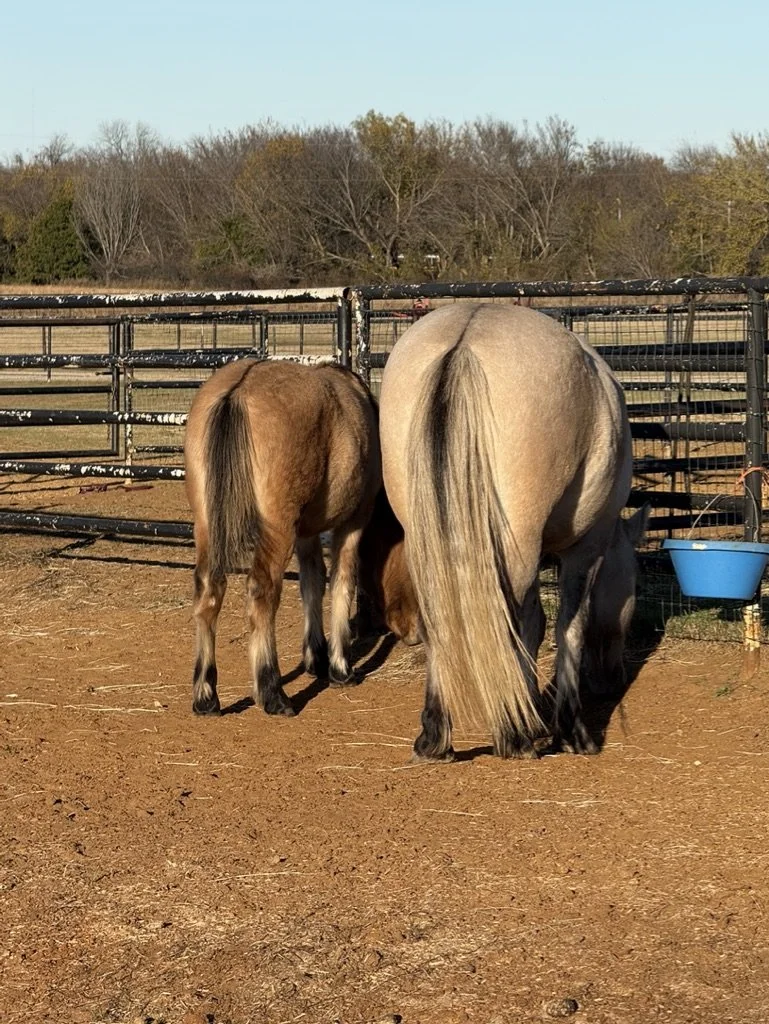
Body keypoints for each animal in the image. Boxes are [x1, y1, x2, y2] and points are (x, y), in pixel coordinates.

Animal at [184, 358, 381, 718]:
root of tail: (239, 391)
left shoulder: (306, 533)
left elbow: (312, 584)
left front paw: (315, 656)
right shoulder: (353, 522)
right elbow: (342, 582)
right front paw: (339, 667)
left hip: (207, 525)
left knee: (208, 589)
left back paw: (206, 695)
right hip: (277, 528)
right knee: (261, 592)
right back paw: (272, 691)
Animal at [375, 302, 648, 761]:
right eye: (632, 586)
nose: (611, 682)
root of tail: (467, 338)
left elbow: (536, 624)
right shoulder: (586, 546)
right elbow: (566, 626)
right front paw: (568, 728)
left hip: (425, 534)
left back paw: (436, 736)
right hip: (518, 539)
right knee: (512, 618)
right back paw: (514, 736)